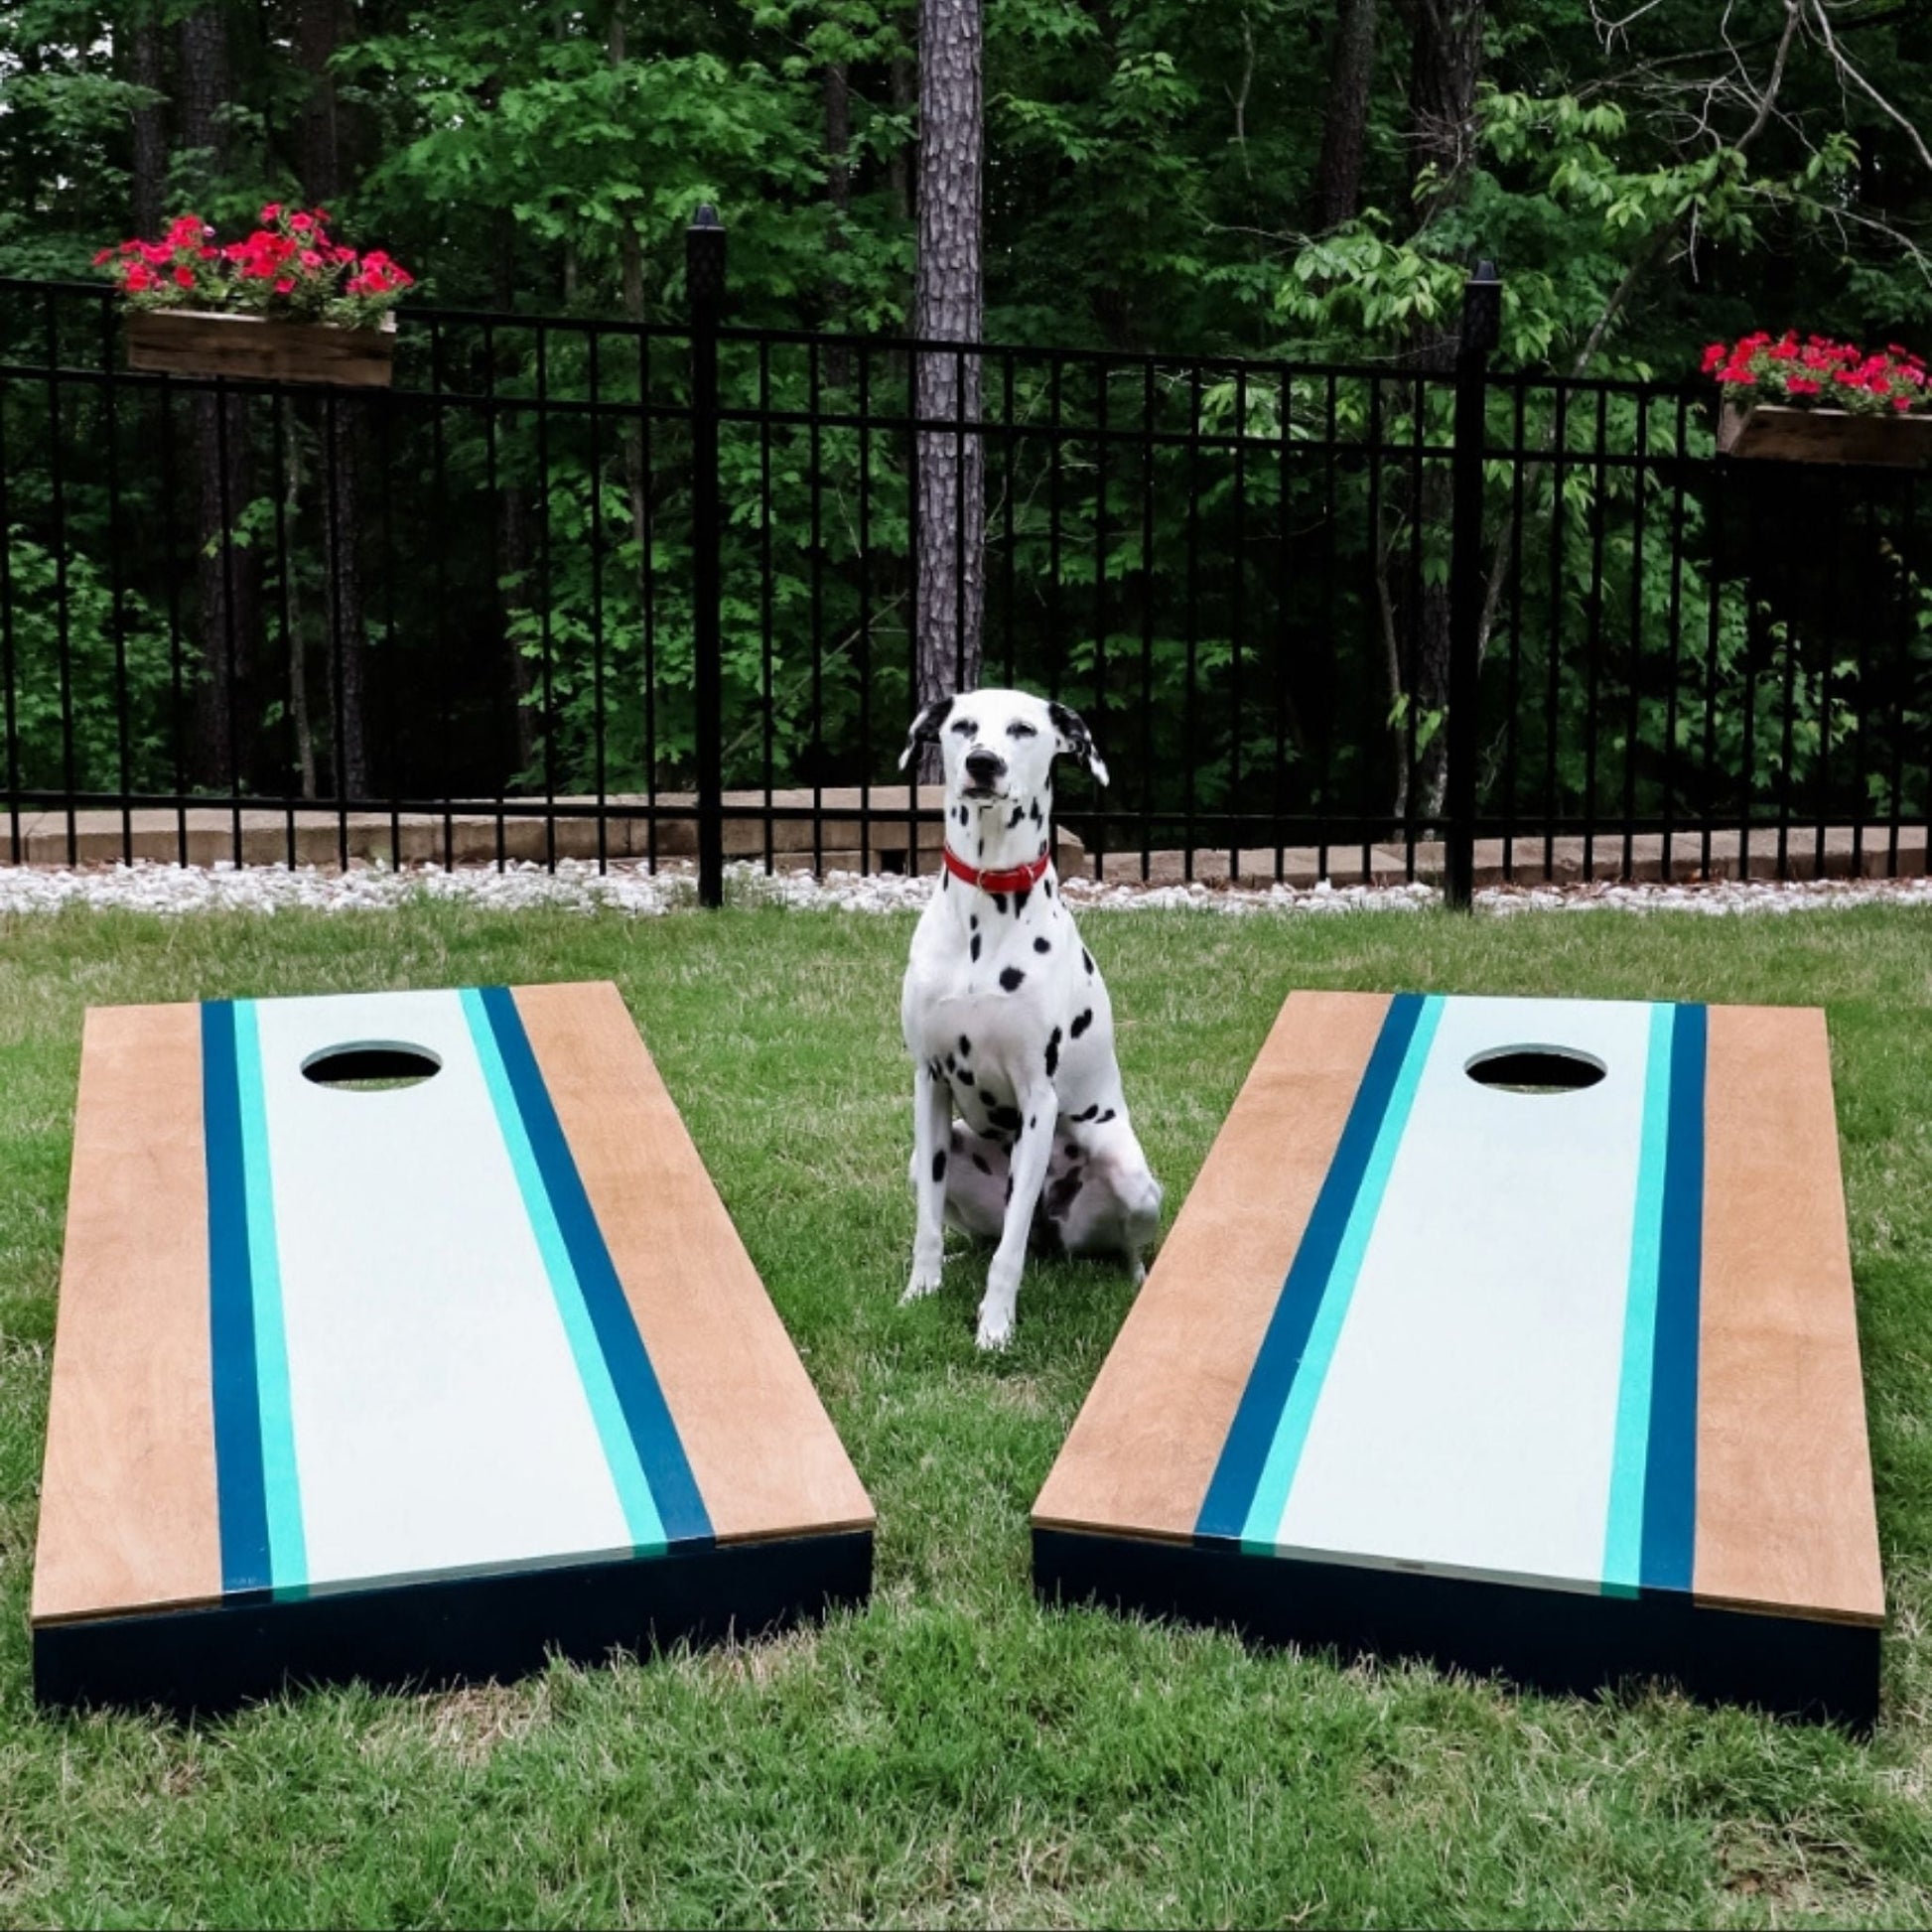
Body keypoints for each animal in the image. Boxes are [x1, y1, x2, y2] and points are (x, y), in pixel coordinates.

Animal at [893, 691, 1151, 1344]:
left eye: (1023, 729)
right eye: (963, 727)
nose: (983, 763)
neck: (986, 912)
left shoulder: (1038, 1099)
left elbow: (1008, 1255)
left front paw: (995, 1326)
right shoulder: (930, 1082)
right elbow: (928, 1223)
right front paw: (919, 1292)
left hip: (1131, 1179)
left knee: (1119, 1246)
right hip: (924, 1158)